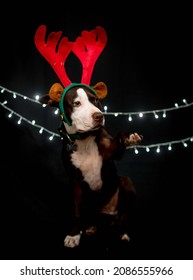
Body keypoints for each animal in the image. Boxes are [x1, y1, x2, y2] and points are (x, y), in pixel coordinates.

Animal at [40, 82, 142, 248]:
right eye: (76, 103)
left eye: (95, 100)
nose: (99, 116)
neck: (84, 139)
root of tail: (106, 214)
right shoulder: (75, 183)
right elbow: (77, 212)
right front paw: (74, 235)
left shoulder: (113, 150)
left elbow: (120, 136)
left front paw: (129, 137)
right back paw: (92, 227)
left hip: (125, 184)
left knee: (123, 215)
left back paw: (123, 232)